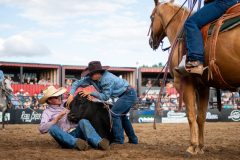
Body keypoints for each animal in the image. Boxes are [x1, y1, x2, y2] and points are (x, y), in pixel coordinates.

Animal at [148, 0, 240, 155]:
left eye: (151, 17)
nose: (150, 41)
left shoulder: (184, 83)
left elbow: (191, 115)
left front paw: (192, 146)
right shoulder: (203, 86)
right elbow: (201, 117)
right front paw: (201, 147)